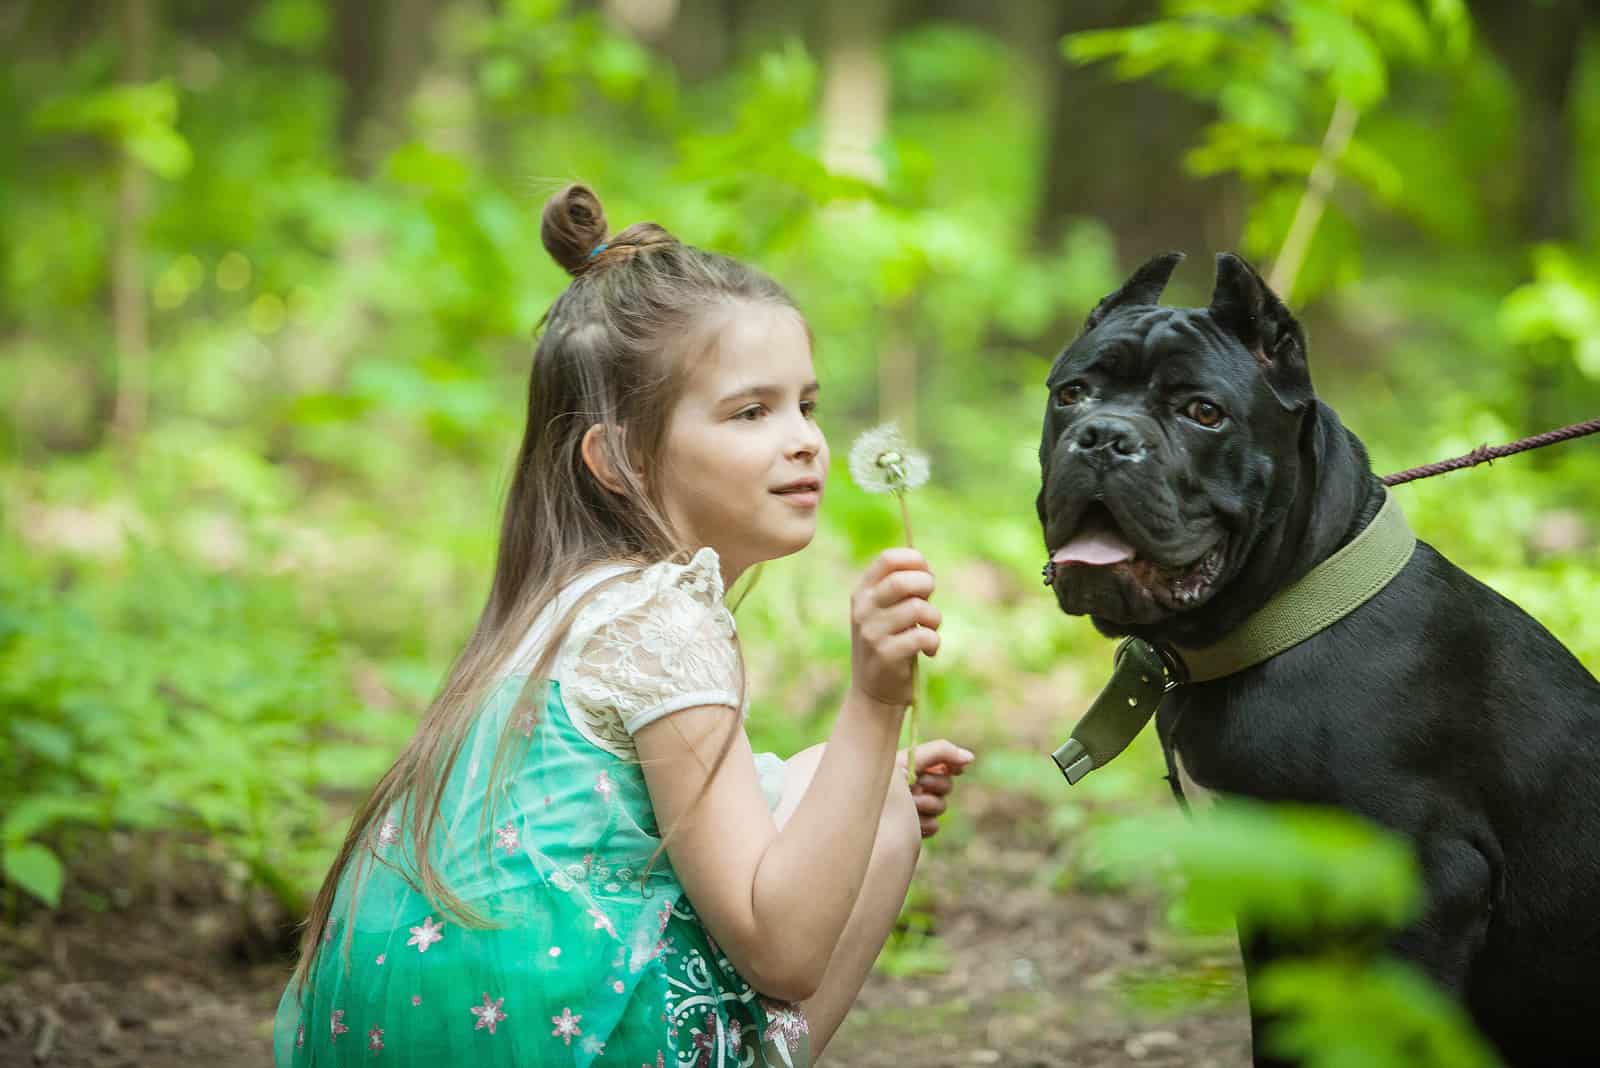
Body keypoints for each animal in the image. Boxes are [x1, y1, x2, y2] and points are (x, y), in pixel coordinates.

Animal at [1043, 252, 1600, 1068]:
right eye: (1071, 394)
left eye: (1203, 412)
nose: (1103, 436)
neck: (1278, 616)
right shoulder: (1263, 877)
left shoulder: (1424, 885)